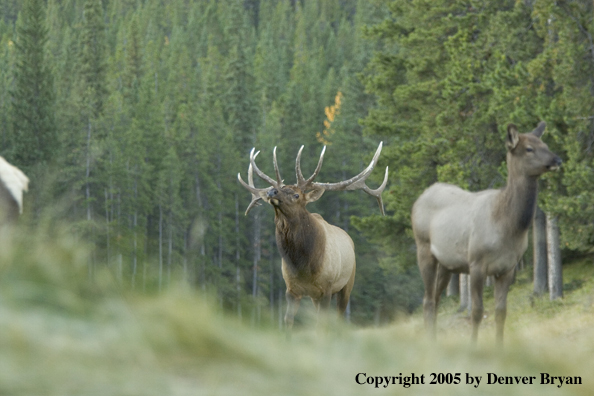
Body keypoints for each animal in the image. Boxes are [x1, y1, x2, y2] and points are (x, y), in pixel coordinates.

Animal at [238, 142, 386, 332]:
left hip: (347, 283)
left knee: (339, 316)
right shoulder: (292, 289)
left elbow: (322, 325)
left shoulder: (327, 288)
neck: (304, 264)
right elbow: (288, 321)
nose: (272, 191)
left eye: (296, 195)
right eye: (282, 188)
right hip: (316, 296)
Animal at [412, 122, 560, 344]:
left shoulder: (508, 267)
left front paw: (499, 346)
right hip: (423, 248)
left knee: (434, 299)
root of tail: (419, 198)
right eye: (529, 149)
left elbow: (501, 312)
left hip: (447, 264)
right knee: (428, 300)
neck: (508, 227)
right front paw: (473, 346)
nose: (557, 160)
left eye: (546, 144)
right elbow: (477, 311)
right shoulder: (476, 262)